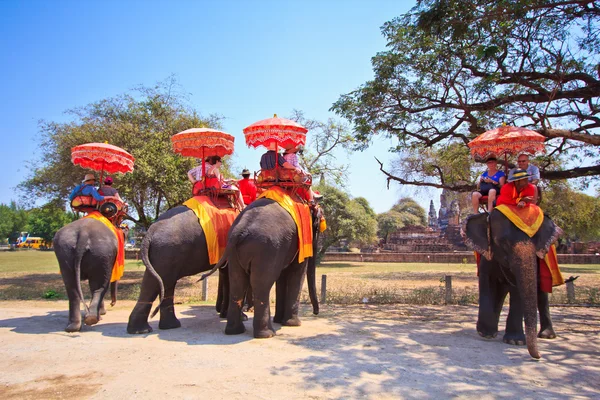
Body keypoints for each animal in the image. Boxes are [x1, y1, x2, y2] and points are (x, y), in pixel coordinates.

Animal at [214, 198, 322, 340]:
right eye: (317, 226)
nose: (316, 312)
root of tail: (240, 231)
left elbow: (282, 276)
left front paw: (280, 320)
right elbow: (297, 272)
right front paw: (294, 324)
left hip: (234, 252)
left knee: (237, 282)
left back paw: (234, 331)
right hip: (266, 248)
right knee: (262, 285)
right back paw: (267, 334)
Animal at [464, 211, 564, 358]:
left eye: (538, 242)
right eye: (503, 242)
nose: (539, 356)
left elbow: (518, 291)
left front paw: (515, 341)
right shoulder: (487, 256)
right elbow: (486, 283)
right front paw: (485, 332)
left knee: (542, 296)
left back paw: (547, 335)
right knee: (499, 294)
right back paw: (493, 330)